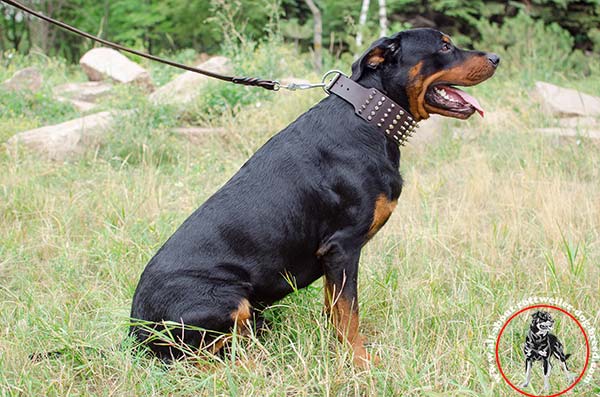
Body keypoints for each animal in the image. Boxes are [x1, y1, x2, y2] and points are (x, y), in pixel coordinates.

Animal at [129, 29, 500, 366]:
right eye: (445, 46)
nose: (496, 58)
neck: (369, 117)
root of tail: (135, 332)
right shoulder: (342, 248)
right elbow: (349, 314)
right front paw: (361, 362)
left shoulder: (331, 259)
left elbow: (335, 310)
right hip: (226, 299)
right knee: (202, 358)